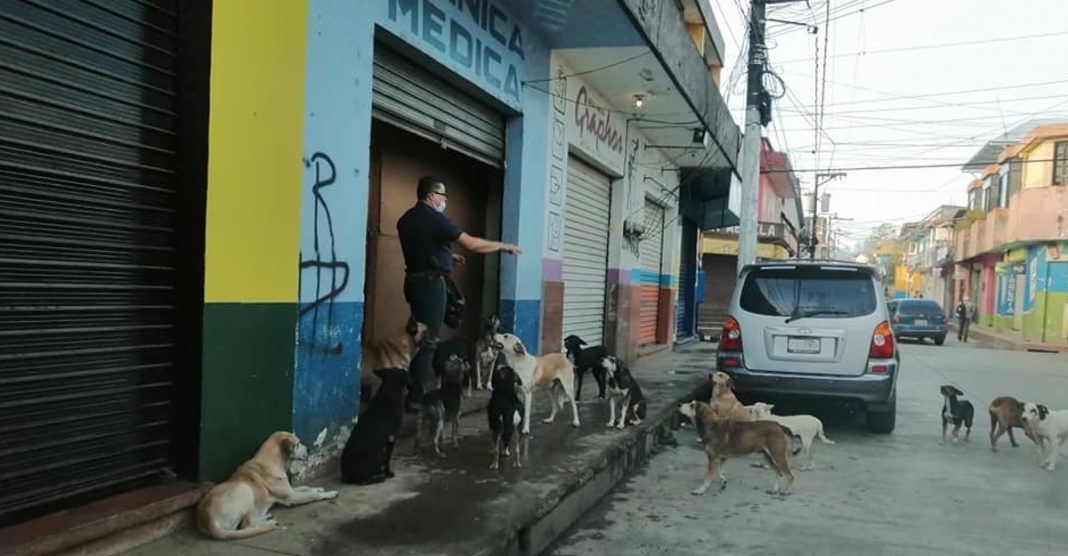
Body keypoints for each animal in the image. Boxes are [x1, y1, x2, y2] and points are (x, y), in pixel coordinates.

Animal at [196, 429, 337, 537]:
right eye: (297, 443)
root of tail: (208, 521)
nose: (308, 449)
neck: (272, 461)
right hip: (244, 490)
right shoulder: (292, 497)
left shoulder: (290, 490)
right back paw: (269, 523)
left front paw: (318, 488)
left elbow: (306, 487)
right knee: (247, 526)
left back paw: (267, 518)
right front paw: (330, 493)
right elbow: (313, 495)